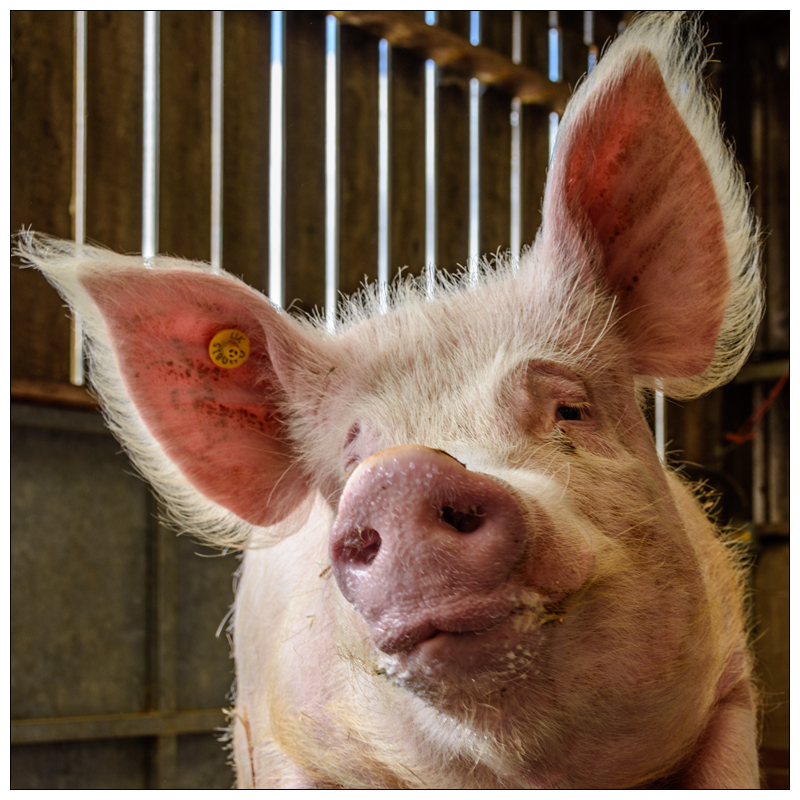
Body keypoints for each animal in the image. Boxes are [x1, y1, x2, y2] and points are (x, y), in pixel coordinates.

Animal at [18, 11, 762, 789]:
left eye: (571, 410)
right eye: (346, 472)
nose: (404, 473)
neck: (515, 774)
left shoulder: (731, 684)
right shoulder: (283, 739)